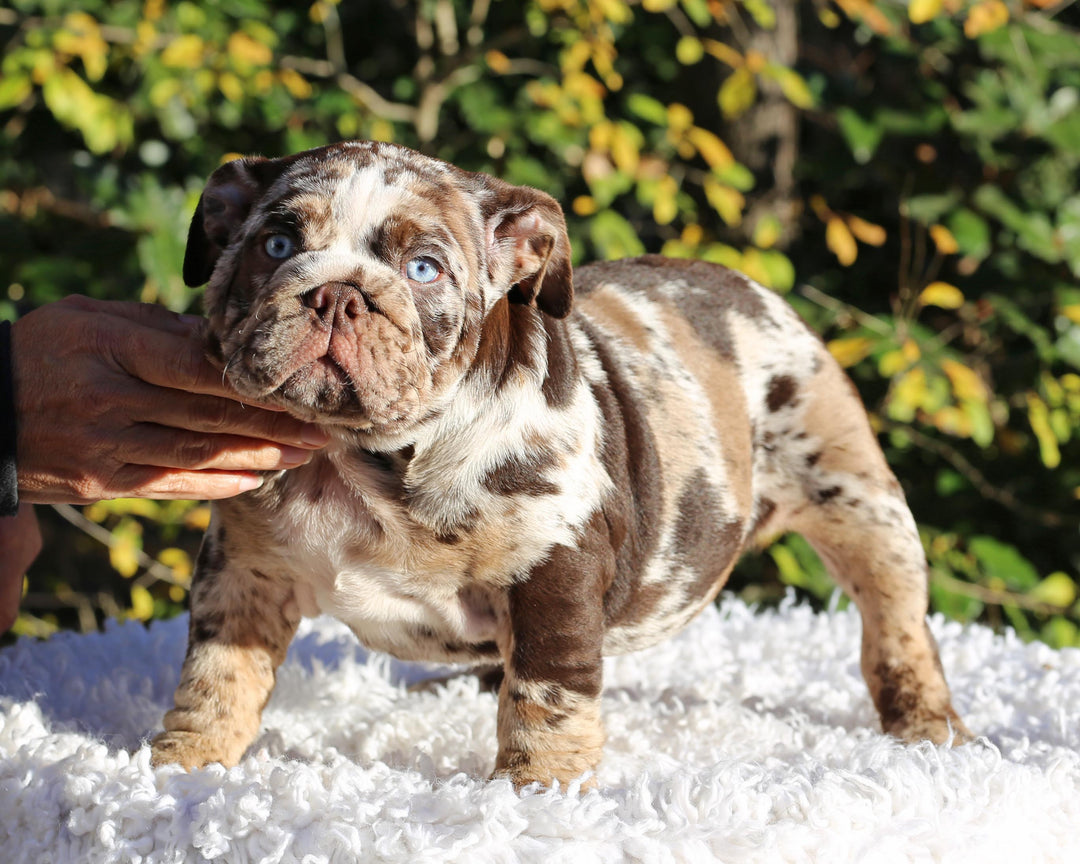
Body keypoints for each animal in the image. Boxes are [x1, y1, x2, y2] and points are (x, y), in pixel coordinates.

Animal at [150, 141, 972, 790]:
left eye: (424, 268)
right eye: (275, 247)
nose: (336, 294)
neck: (358, 455)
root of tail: (746, 285)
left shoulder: (555, 569)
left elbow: (548, 691)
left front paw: (537, 789)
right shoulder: (244, 572)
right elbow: (218, 674)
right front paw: (185, 763)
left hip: (860, 505)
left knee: (896, 625)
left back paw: (927, 725)